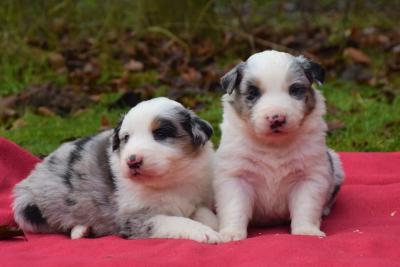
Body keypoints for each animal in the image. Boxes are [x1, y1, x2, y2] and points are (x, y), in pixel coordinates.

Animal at [12, 97, 220, 244]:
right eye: (126, 137)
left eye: (160, 133)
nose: (132, 161)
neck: (170, 179)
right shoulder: (135, 217)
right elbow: (173, 221)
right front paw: (205, 233)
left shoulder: (196, 199)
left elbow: (206, 214)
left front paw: (218, 228)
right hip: (28, 208)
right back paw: (81, 230)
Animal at [216, 50, 344, 243]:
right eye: (253, 93)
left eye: (295, 90)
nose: (276, 118)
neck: (273, 145)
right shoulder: (235, 176)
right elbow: (234, 206)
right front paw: (231, 233)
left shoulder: (310, 176)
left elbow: (306, 205)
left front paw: (307, 231)